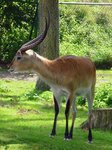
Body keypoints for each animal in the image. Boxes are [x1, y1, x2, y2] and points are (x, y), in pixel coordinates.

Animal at [9, 13, 96, 143]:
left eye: (19, 57)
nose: (9, 67)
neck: (57, 70)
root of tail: (90, 62)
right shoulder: (56, 92)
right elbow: (57, 110)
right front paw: (53, 133)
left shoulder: (69, 93)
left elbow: (65, 111)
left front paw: (65, 135)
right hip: (76, 96)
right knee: (75, 112)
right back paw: (71, 135)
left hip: (89, 92)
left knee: (89, 112)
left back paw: (89, 138)